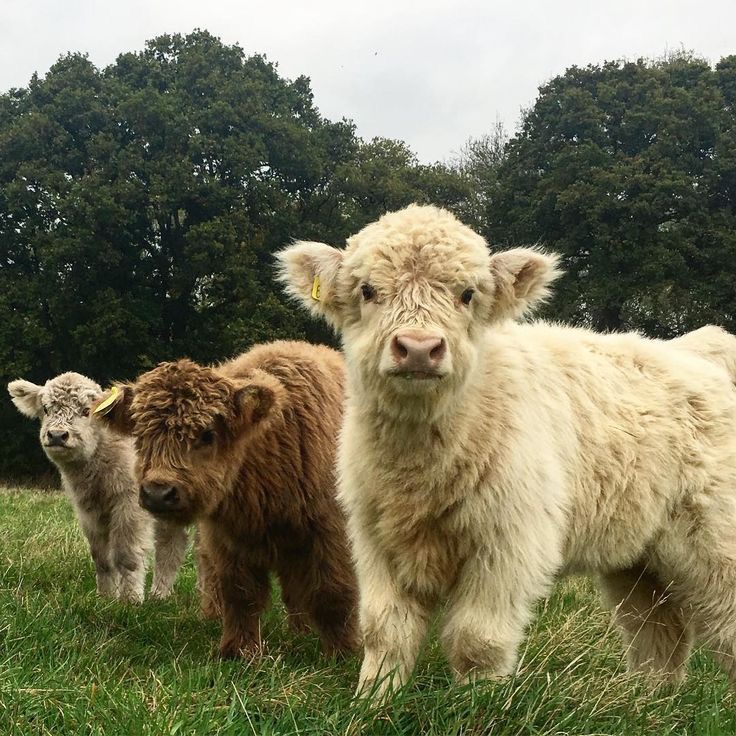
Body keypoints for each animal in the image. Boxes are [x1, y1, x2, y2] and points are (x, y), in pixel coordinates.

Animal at [8, 372, 190, 602]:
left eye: (87, 411)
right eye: (46, 409)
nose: (57, 435)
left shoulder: (130, 503)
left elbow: (126, 554)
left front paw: (130, 599)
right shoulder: (88, 511)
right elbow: (101, 557)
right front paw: (105, 597)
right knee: (172, 544)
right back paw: (160, 594)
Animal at [93, 341, 359, 658]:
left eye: (208, 434)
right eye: (141, 434)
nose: (158, 493)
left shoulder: (330, 534)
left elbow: (333, 593)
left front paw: (343, 653)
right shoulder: (229, 539)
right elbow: (240, 594)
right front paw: (239, 651)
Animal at [277, 203, 736, 697]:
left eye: (467, 294)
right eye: (367, 290)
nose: (418, 348)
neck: (419, 468)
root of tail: (696, 350)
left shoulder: (507, 542)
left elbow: (476, 638)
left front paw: (476, 701)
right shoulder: (375, 539)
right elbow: (384, 629)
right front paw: (374, 698)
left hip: (715, 536)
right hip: (636, 555)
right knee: (657, 628)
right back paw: (648, 700)